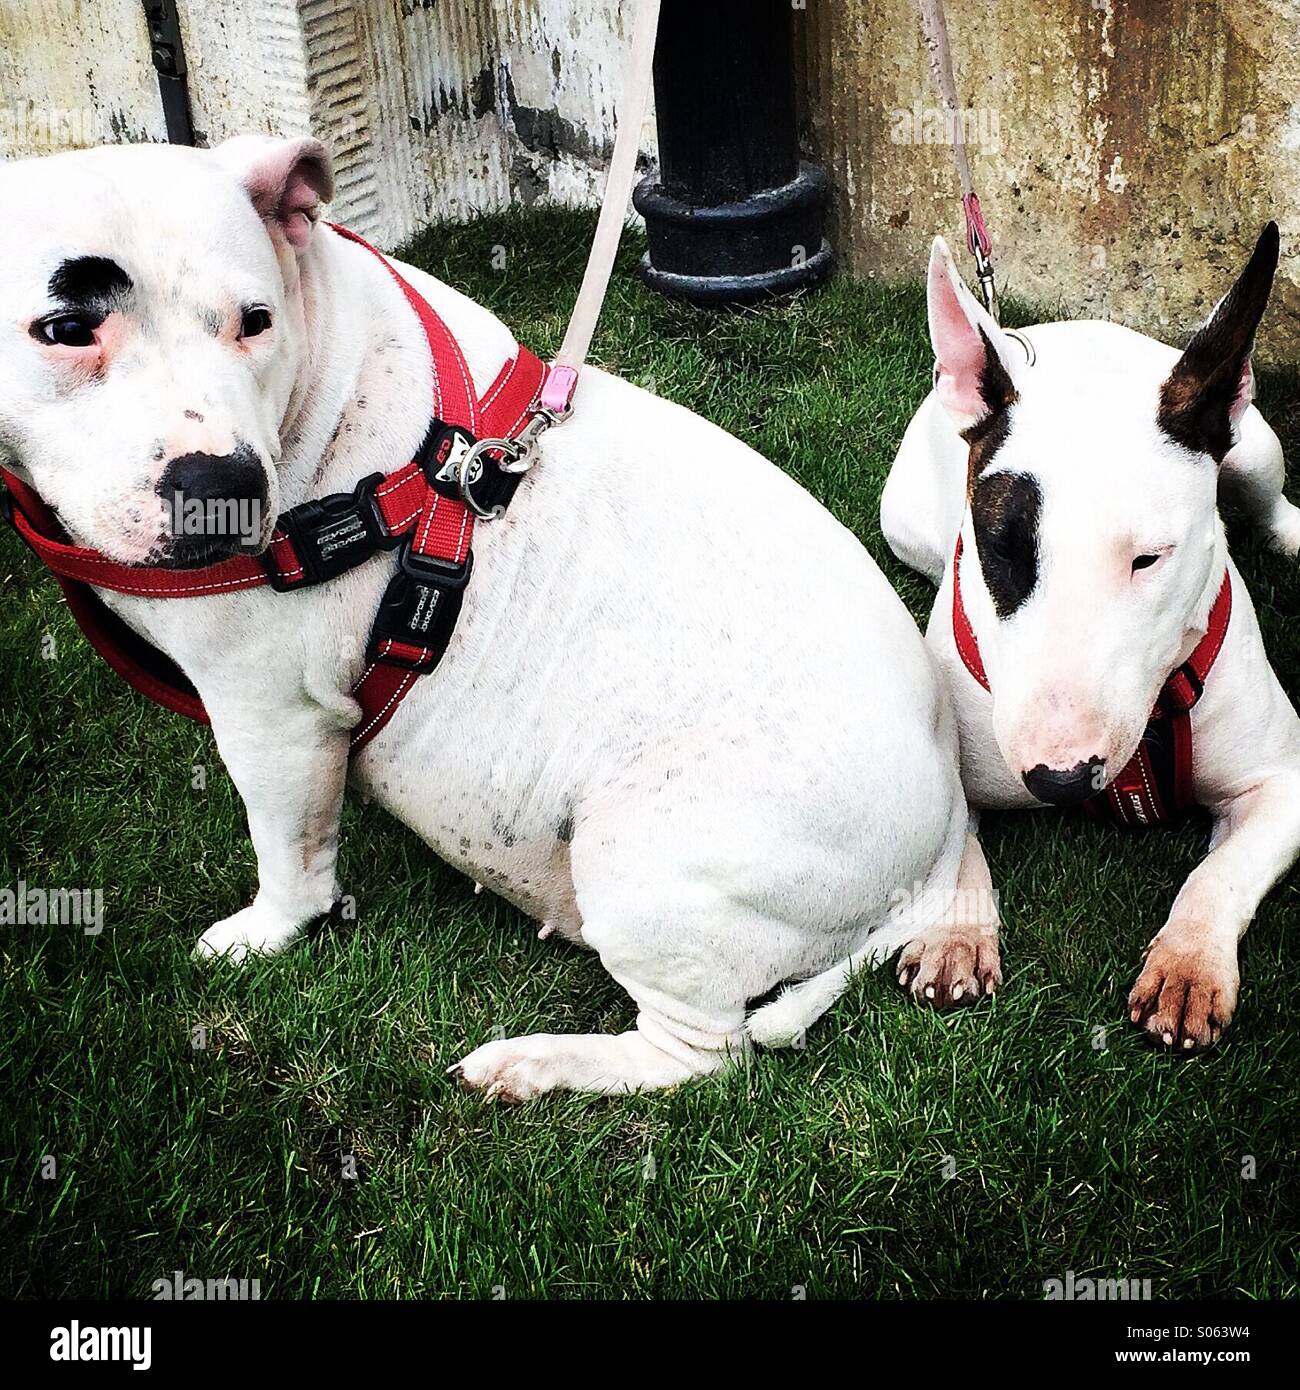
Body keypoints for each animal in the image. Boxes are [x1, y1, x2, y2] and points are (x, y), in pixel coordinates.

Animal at [2, 138, 995, 1095]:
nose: (224, 486)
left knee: (702, 1054)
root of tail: (941, 825)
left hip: (644, 852)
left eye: (255, 320)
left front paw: (265, 931)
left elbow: (288, 855)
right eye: (66, 330)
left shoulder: (273, 715)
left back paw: (539, 1065)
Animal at [884, 225, 1300, 1050]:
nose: (1061, 777)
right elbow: (955, 843)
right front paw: (954, 933)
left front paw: (1186, 967)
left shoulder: (1286, 779)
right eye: (1000, 547)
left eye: (1149, 558)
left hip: (1255, 447)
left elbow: (1219, 873)